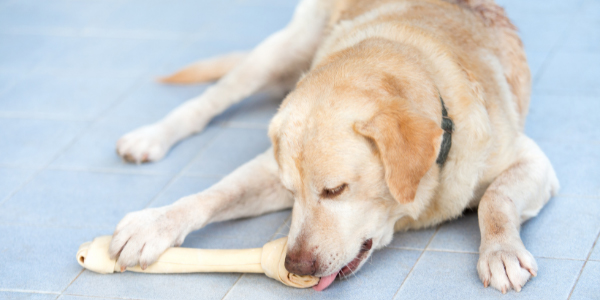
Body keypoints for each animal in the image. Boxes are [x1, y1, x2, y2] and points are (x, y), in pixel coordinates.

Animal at [106, 0, 556, 292]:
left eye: (335, 190)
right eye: (291, 193)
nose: (296, 266)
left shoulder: (532, 163)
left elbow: (494, 199)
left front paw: (500, 252)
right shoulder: (266, 171)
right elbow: (216, 194)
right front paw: (155, 224)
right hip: (277, 53)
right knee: (208, 101)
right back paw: (151, 136)